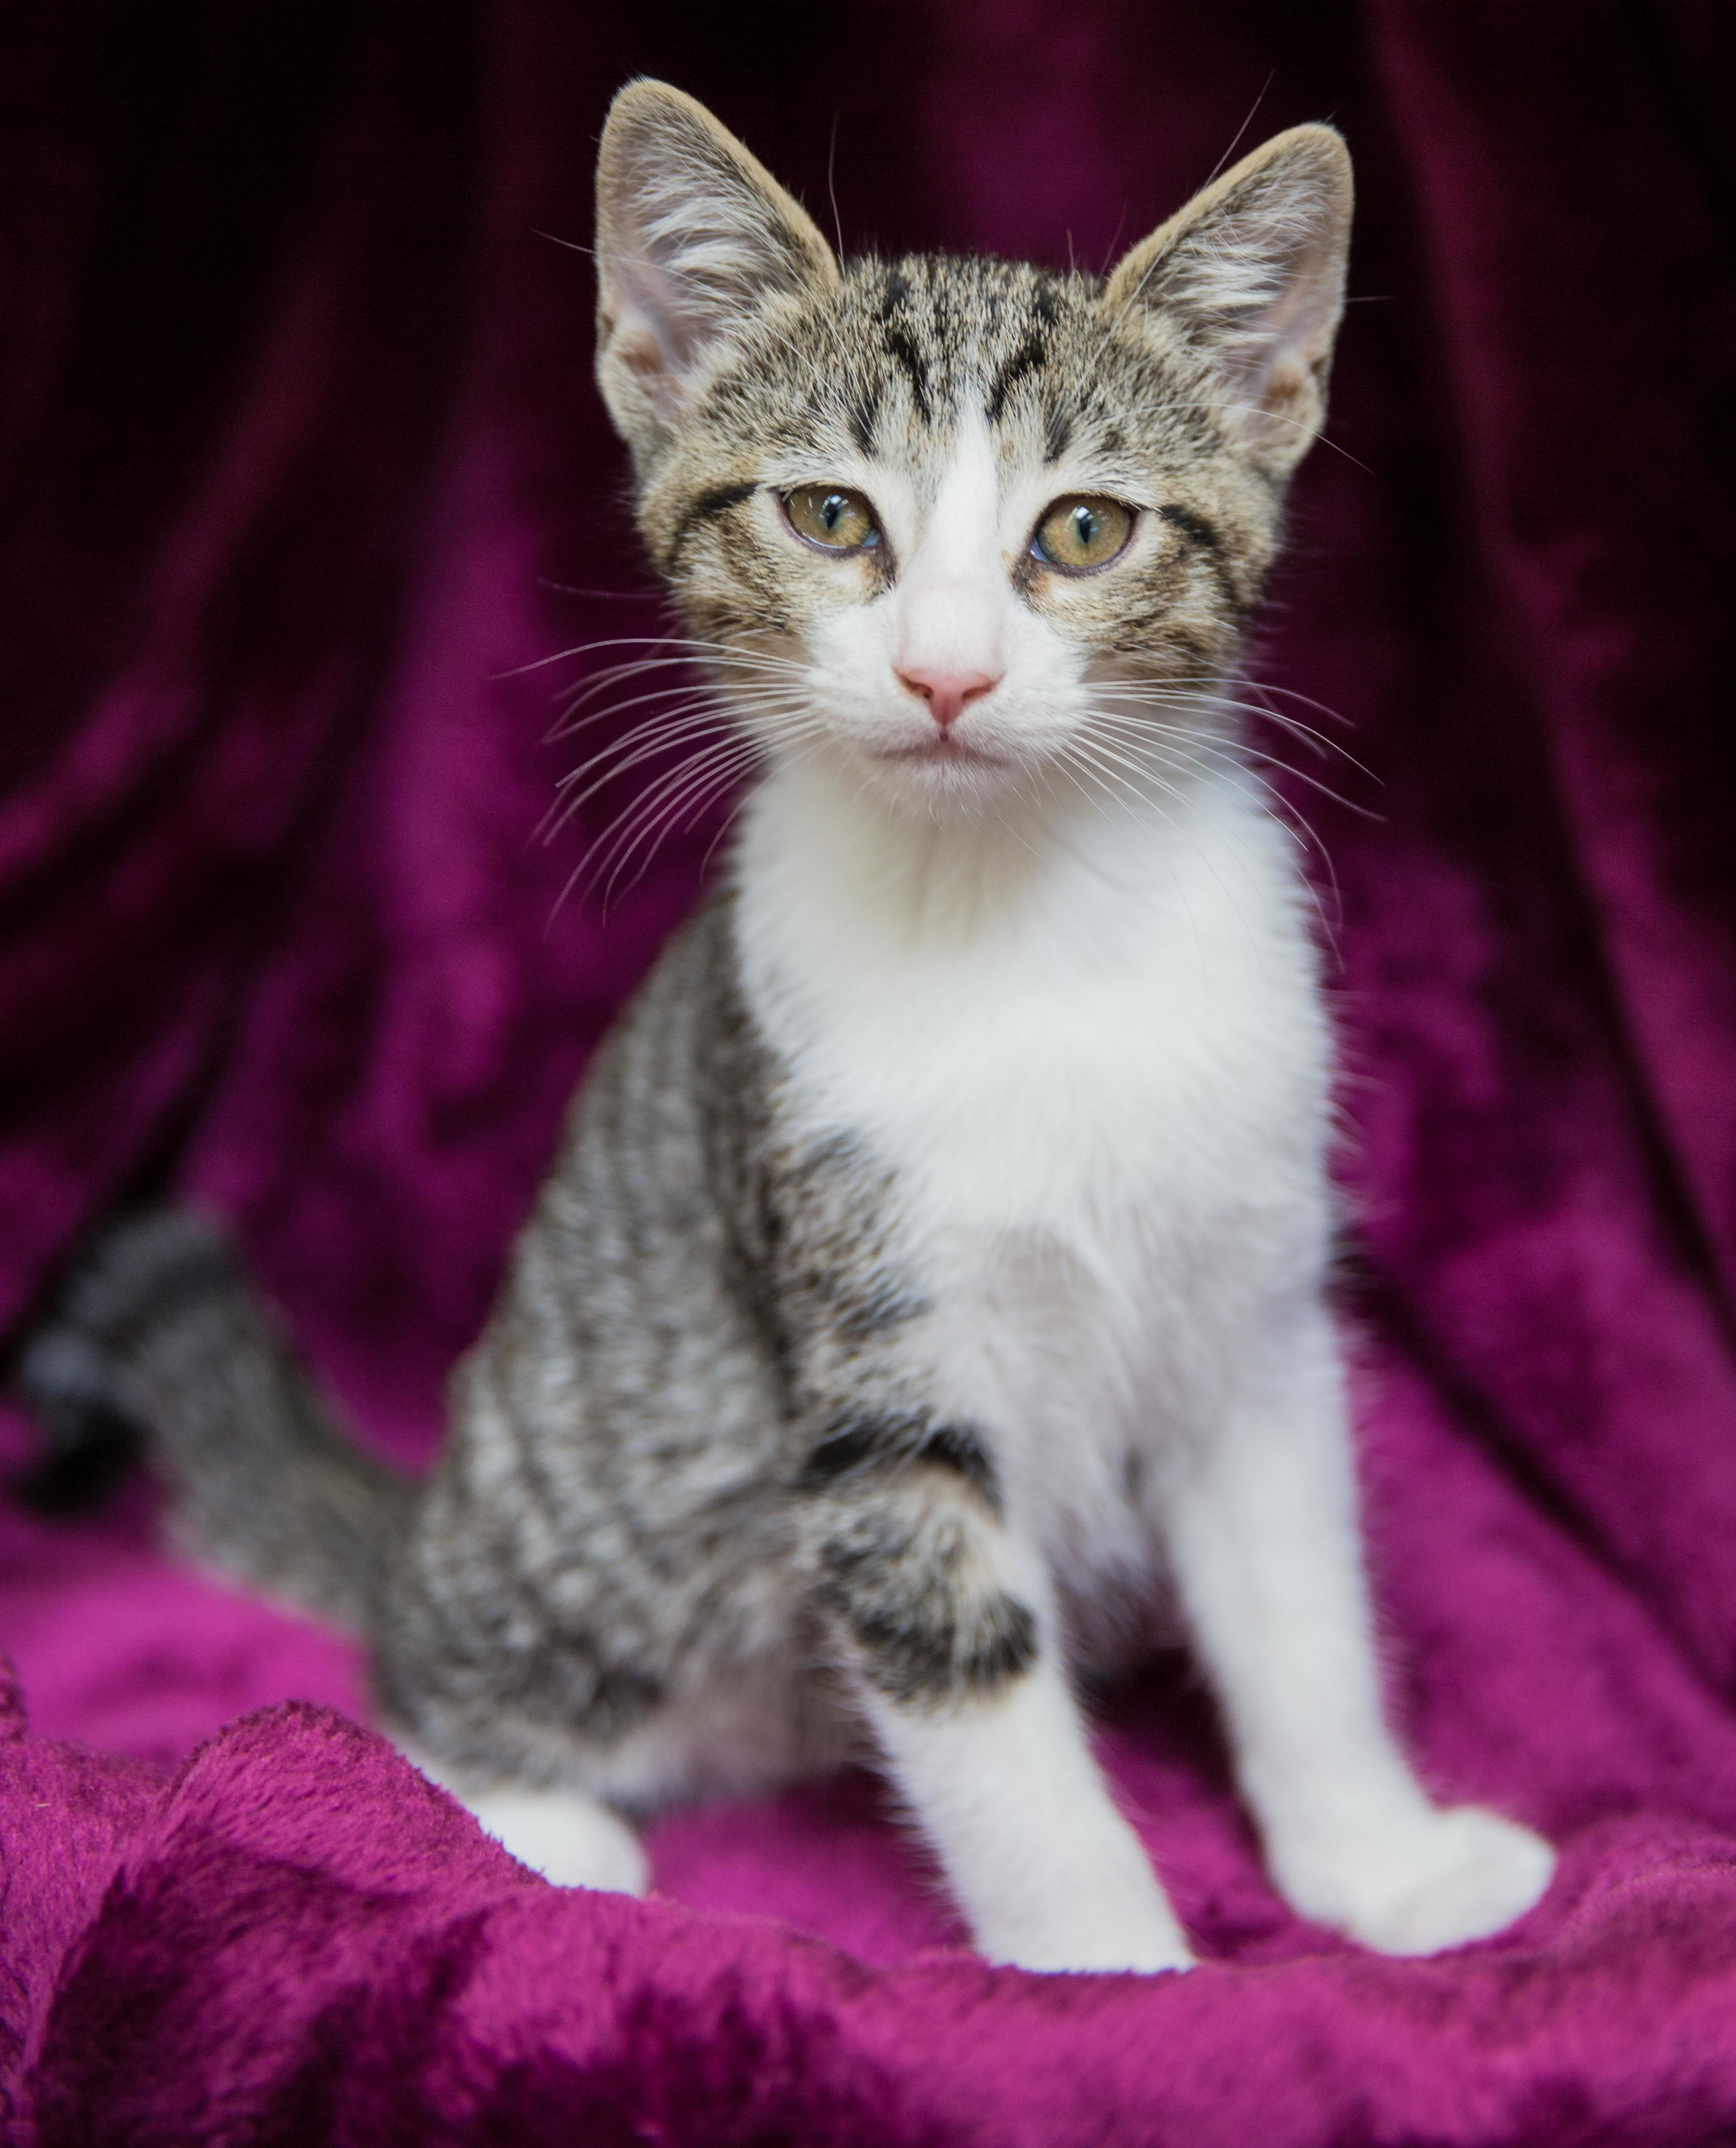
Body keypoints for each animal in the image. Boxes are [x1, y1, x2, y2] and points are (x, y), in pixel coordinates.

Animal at [20, 79, 1555, 1967]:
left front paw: (1375, 1859)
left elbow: (1301, 1611)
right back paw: (531, 1822)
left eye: (1082, 531)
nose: (947, 671)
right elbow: (982, 1704)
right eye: (832, 519)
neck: (1022, 929)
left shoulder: (1252, 1318)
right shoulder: (869, 1371)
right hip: (589, 1516)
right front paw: (1114, 1971)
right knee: (406, 1683)